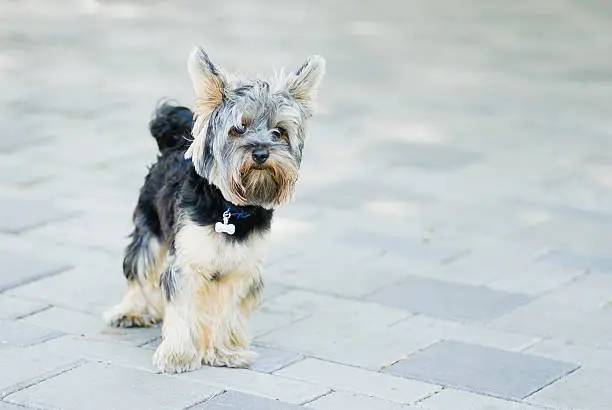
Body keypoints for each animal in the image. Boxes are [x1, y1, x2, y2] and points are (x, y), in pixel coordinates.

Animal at [105, 46, 326, 374]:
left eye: (279, 132)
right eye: (239, 128)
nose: (261, 152)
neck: (229, 207)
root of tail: (171, 143)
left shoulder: (240, 270)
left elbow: (228, 311)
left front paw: (225, 351)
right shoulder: (188, 264)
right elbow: (183, 309)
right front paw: (179, 355)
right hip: (150, 227)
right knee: (141, 269)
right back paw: (132, 311)